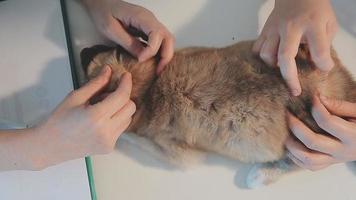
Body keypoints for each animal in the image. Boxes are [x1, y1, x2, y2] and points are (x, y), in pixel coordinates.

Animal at [80, 40, 356, 188]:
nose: (82, 50)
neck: (149, 87)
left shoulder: (175, 153)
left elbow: (135, 139)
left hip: (306, 144)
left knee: (296, 163)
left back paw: (258, 176)